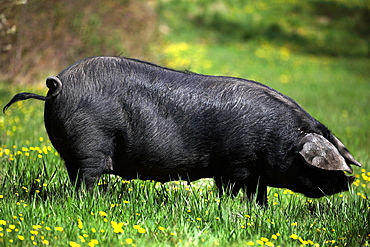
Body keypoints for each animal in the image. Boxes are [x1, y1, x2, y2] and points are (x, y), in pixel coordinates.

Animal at [2, 56, 362, 205]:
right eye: (320, 162)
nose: (350, 180)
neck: (278, 139)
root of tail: (55, 87)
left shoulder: (256, 174)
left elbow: (258, 197)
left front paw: (258, 211)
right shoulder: (234, 165)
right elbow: (230, 190)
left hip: (73, 151)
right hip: (91, 143)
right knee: (86, 178)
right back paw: (90, 202)